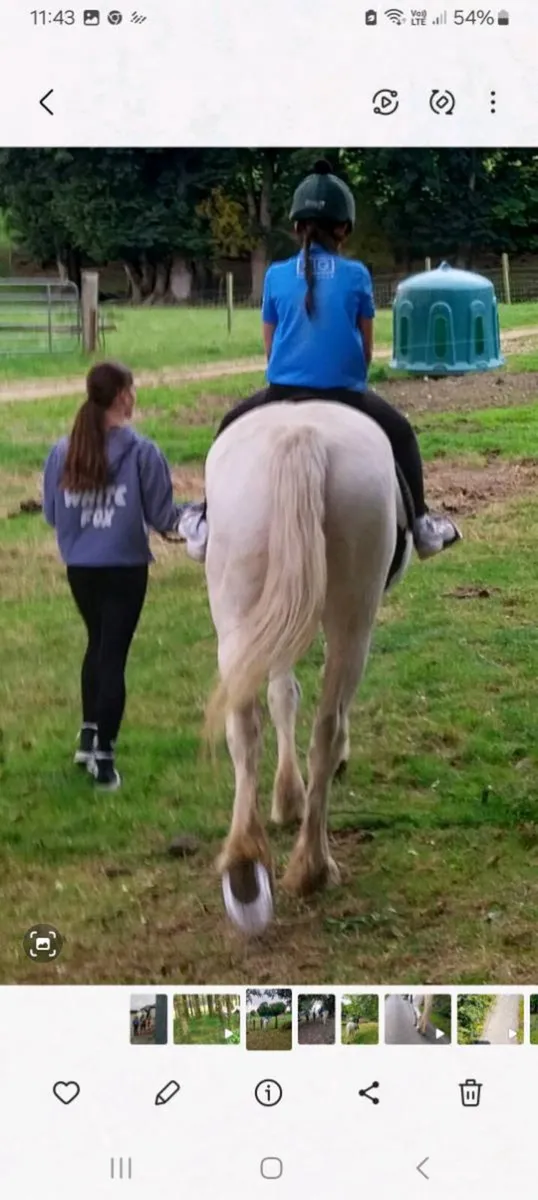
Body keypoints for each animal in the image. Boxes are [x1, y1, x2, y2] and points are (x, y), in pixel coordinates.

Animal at [204, 402, 413, 934]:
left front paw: (287, 795)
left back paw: (246, 868)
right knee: (327, 725)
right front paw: (293, 795)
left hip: (239, 611)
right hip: (353, 617)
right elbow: (291, 697)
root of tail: (300, 436)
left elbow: (282, 696)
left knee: (247, 726)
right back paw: (312, 865)